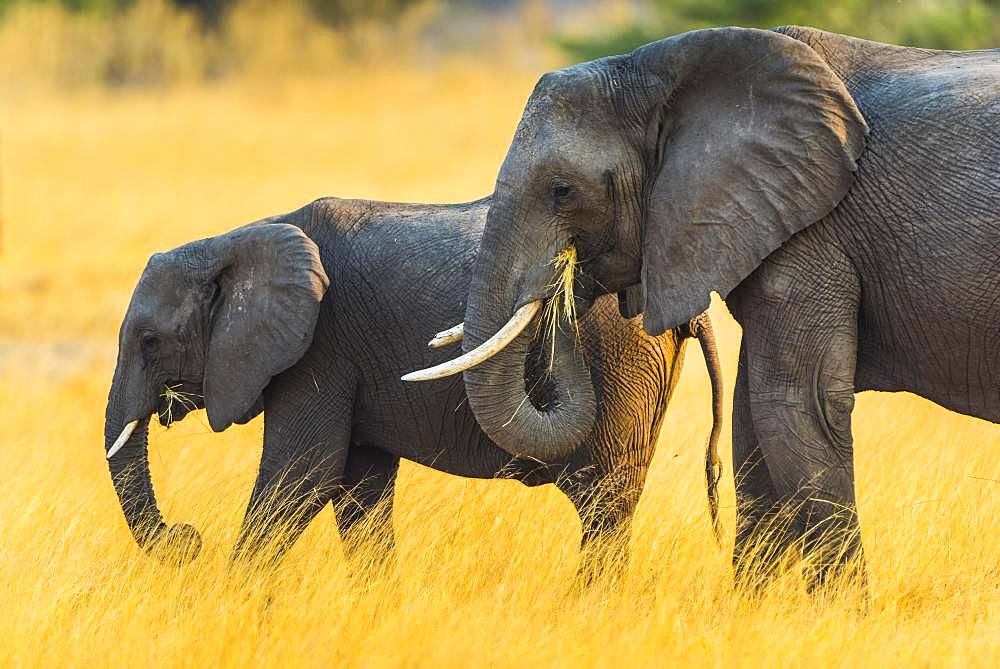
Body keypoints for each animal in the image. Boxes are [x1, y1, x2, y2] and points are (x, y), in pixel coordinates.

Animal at [105, 194, 724, 576]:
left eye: (150, 342)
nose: (187, 539)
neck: (235, 241)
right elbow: (358, 488)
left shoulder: (321, 349)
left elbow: (303, 474)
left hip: (621, 361)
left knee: (604, 505)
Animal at [408, 24, 1000, 584]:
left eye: (562, 190)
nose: (561, 286)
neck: (661, 70)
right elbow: (750, 424)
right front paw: (749, 609)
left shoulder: (811, 231)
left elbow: (795, 404)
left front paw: (845, 614)